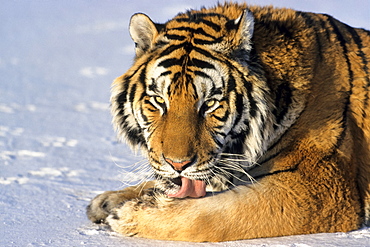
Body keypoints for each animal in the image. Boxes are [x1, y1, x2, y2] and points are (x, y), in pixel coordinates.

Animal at [86, 1, 370, 241]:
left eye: (210, 104)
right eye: (158, 100)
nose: (178, 165)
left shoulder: (320, 189)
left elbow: (214, 214)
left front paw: (130, 215)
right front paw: (110, 200)